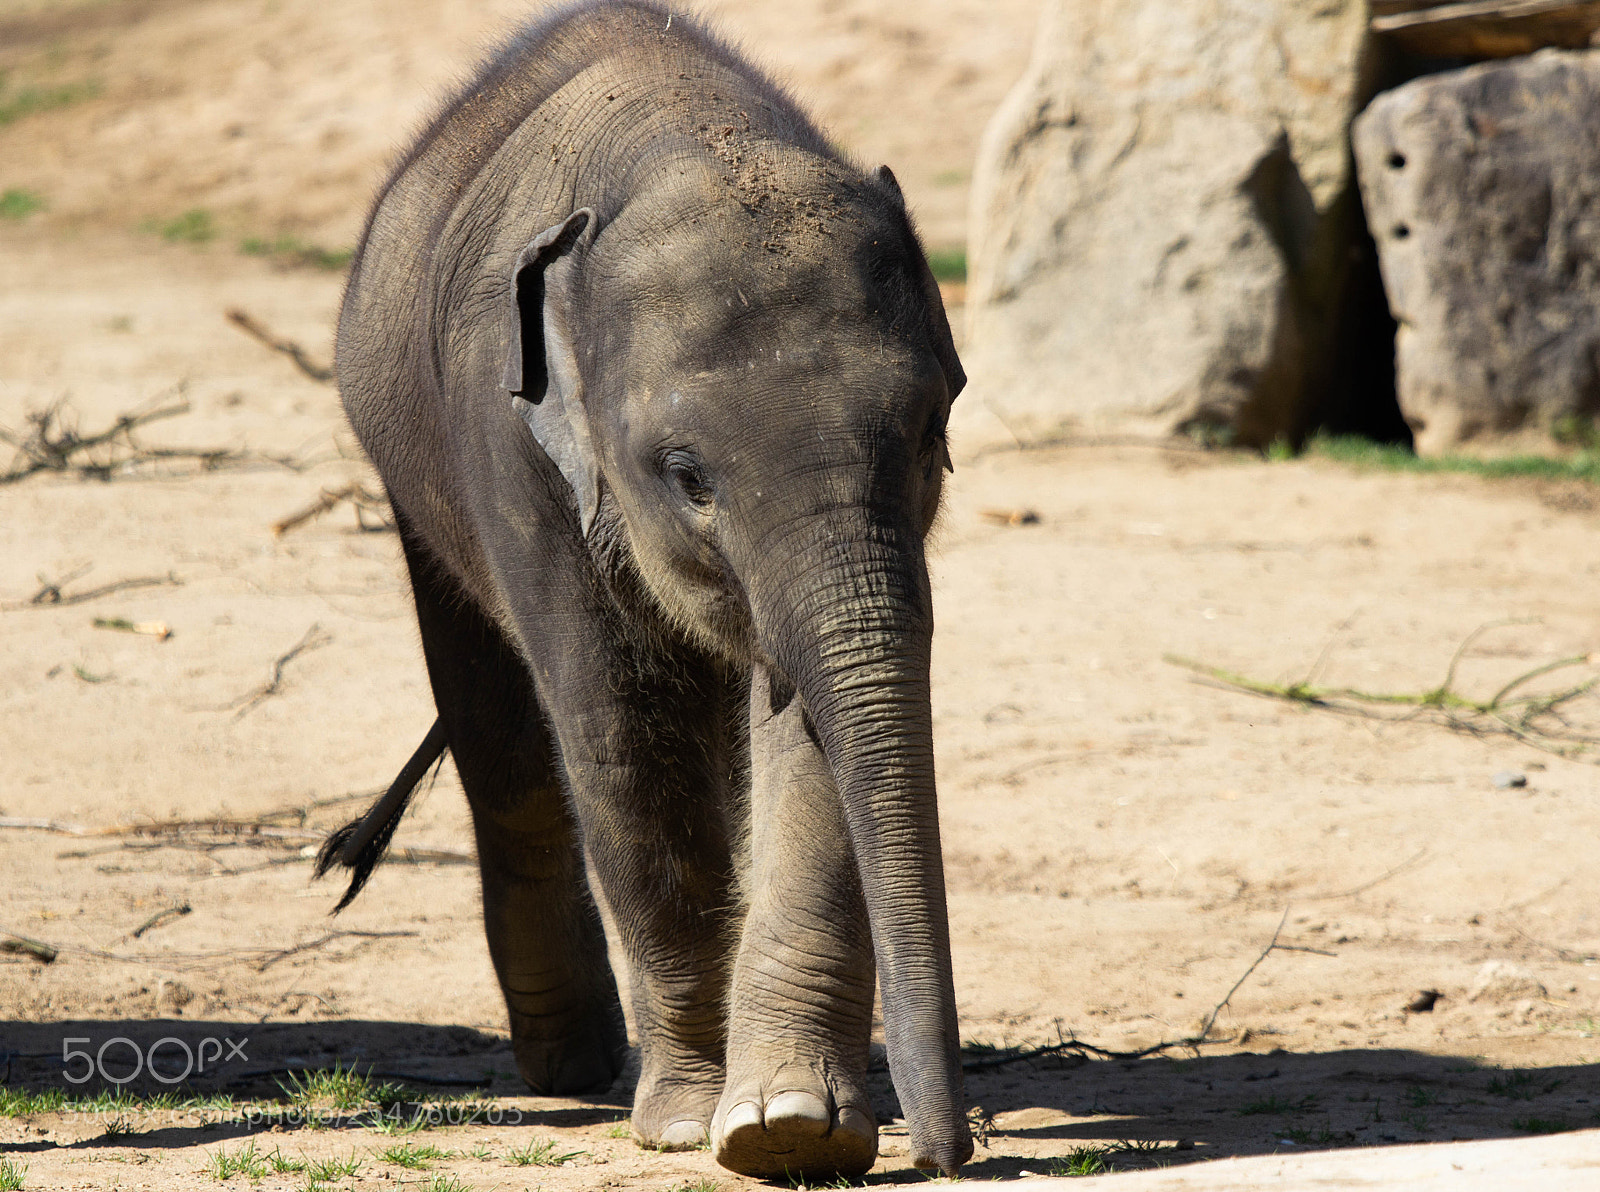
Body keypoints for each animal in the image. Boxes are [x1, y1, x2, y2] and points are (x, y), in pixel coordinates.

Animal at [318, 0, 971, 1178]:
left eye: (928, 434)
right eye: (688, 477)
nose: (949, 1156)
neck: (692, 143)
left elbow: (807, 737)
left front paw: (789, 1125)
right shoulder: (514, 452)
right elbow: (618, 734)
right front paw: (688, 1121)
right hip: (411, 477)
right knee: (504, 739)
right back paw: (571, 1068)